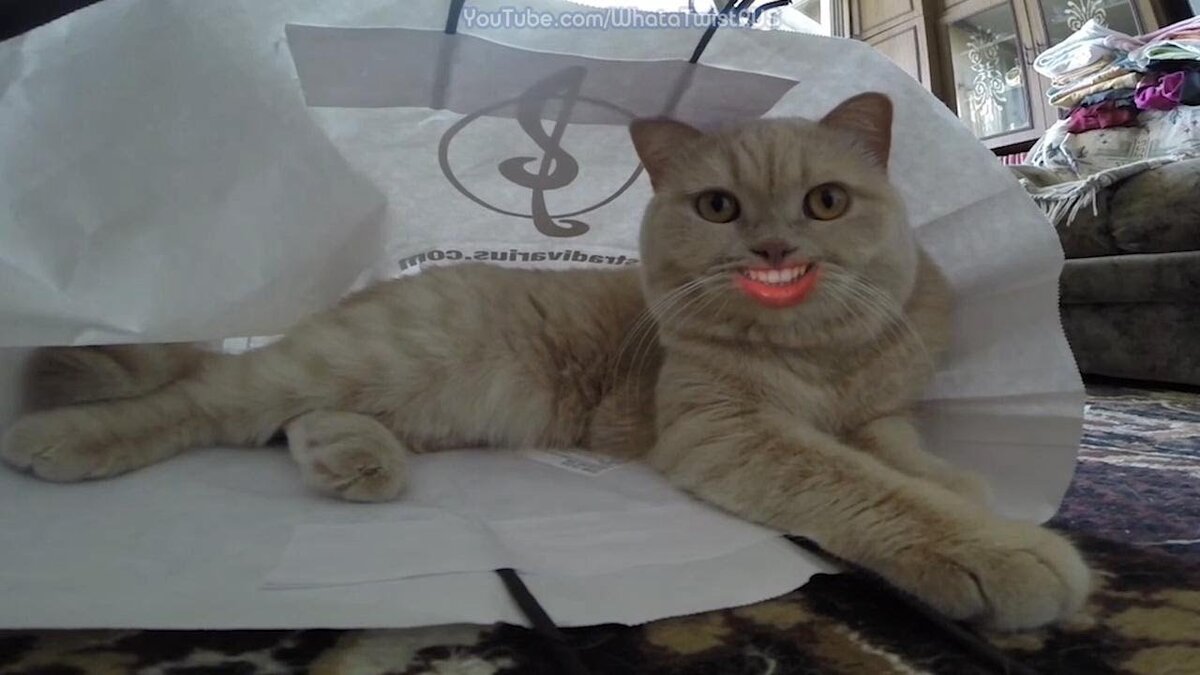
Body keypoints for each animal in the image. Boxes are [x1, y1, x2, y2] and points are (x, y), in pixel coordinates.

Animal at [0, 92, 1090, 630]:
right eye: (718, 207)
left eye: (825, 202)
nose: (775, 249)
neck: (819, 358)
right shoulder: (726, 429)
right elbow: (865, 487)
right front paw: (999, 548)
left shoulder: (879, 411)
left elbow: (905, 457)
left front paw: (965, 487)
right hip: (366, 355)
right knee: (207, 398)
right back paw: (61, 435)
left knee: (292, 421)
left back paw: (355, 460)